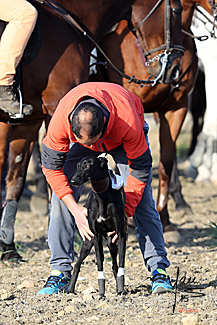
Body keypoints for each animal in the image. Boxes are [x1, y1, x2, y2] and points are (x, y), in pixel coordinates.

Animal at [0, 0, 184, 260]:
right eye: (176, 10)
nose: (175, 69)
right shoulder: (53, 111)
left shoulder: (28, 121)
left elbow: (15, 180)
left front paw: (8, 248)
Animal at [67, 156, 126, 294]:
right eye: (77, 166)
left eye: (88, 165)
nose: (73, 181)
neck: (102, 197)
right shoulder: (96, 236)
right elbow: (99, 261)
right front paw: (101, 292)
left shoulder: (121, 235)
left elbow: (121, 262)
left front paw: (121, 289)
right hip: (88, 243)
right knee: (77, 265)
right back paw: (70, 289)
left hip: (111, 242)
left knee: (115, 266)